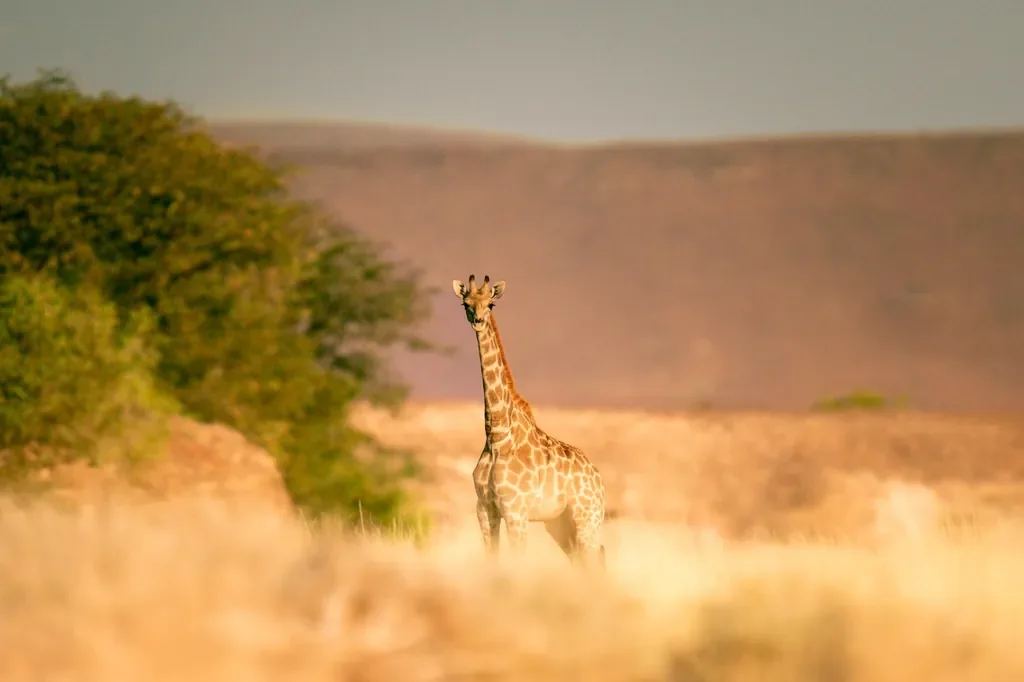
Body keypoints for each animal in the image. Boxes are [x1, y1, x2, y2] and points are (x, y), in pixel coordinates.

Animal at [451, 274, 608, 569]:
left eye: (491, 304)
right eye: (466, 303)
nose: (478, 320)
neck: (497, 435)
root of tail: (598, 479)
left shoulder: (516, 511)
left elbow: (517, 561)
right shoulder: (485, 509)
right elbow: (492, 559)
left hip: (587, 517)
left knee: (595, 559)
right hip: (560, 523)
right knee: (582, 560)